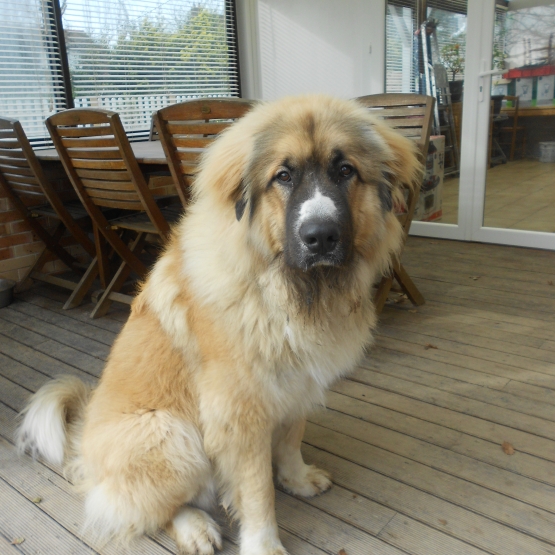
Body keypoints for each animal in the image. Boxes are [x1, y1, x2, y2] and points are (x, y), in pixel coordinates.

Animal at [15, 95, 420, 555]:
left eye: (346, 170)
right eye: (283, 176)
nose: (320, 237)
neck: (282, 290)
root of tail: (82, 443)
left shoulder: (298, 383)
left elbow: (291, 439)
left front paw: (297, 479)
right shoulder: (238, 412)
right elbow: (257, 489)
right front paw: (264, 544)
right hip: (171, 436)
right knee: (138, 508)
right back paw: (195, 527)